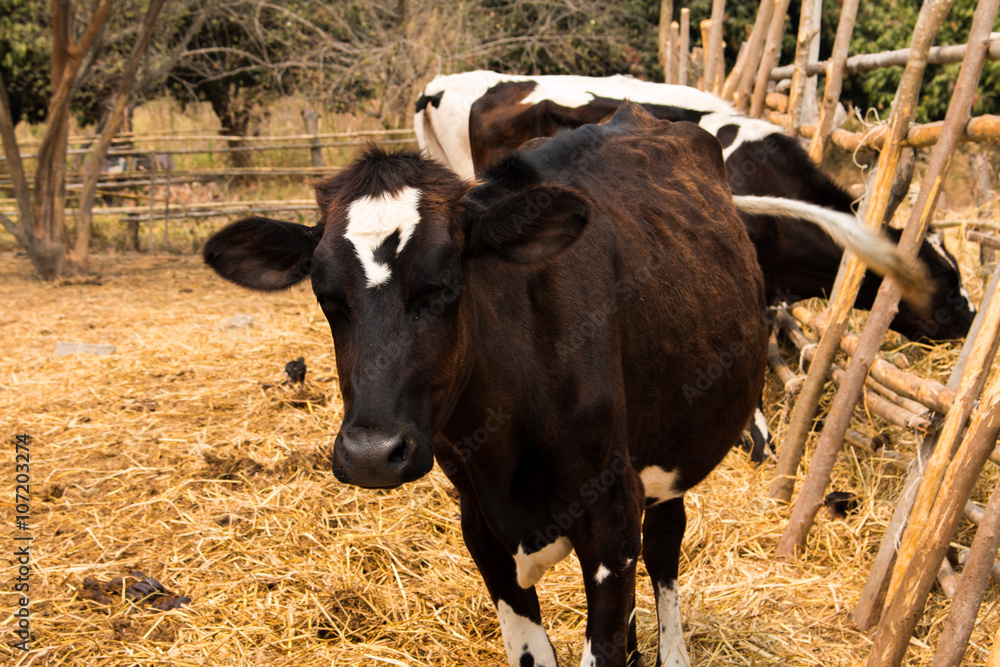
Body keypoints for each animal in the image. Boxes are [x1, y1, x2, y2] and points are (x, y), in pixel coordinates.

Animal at [203, 104, 927, 666]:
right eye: (326, 296)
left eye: (445, 283)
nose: (372, 454)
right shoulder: (482, 528)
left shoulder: (609, 515)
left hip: (669, 462)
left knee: (665, 551)